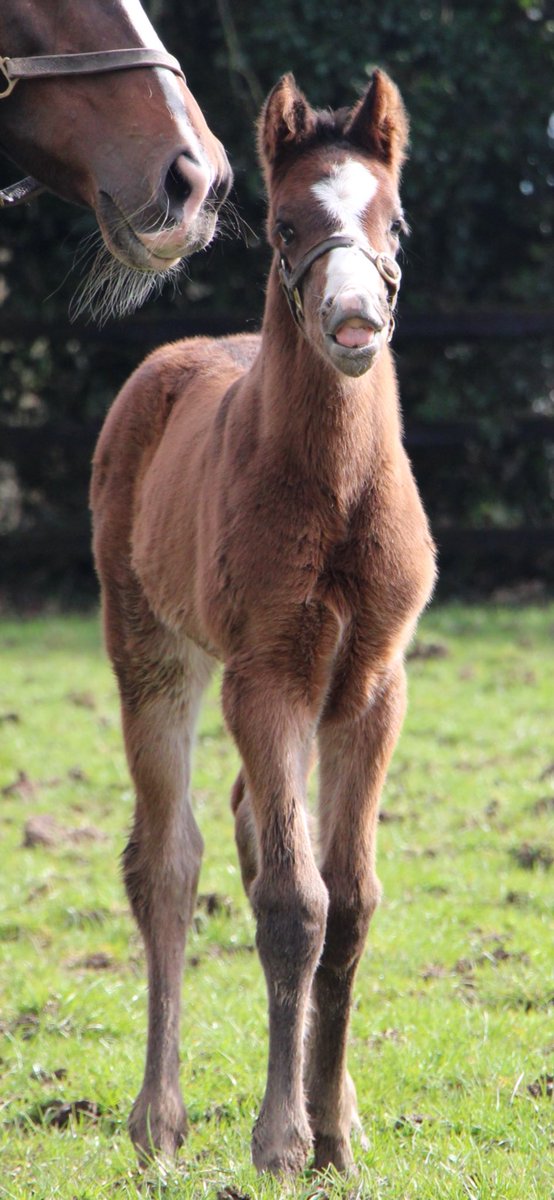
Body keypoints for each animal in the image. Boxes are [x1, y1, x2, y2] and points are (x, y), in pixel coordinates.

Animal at [91, 68, 436, 1175]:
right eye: (287, 226)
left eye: (394, 221)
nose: (354, 325)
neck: (335, 493)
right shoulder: (267, 678)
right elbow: (295, 902)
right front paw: (283, 1140)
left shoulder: (370, 686)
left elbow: (349, 899)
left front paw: (334, 1129)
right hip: (154, 654)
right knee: (168, 863)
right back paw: (157, 1120)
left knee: (251, 833)